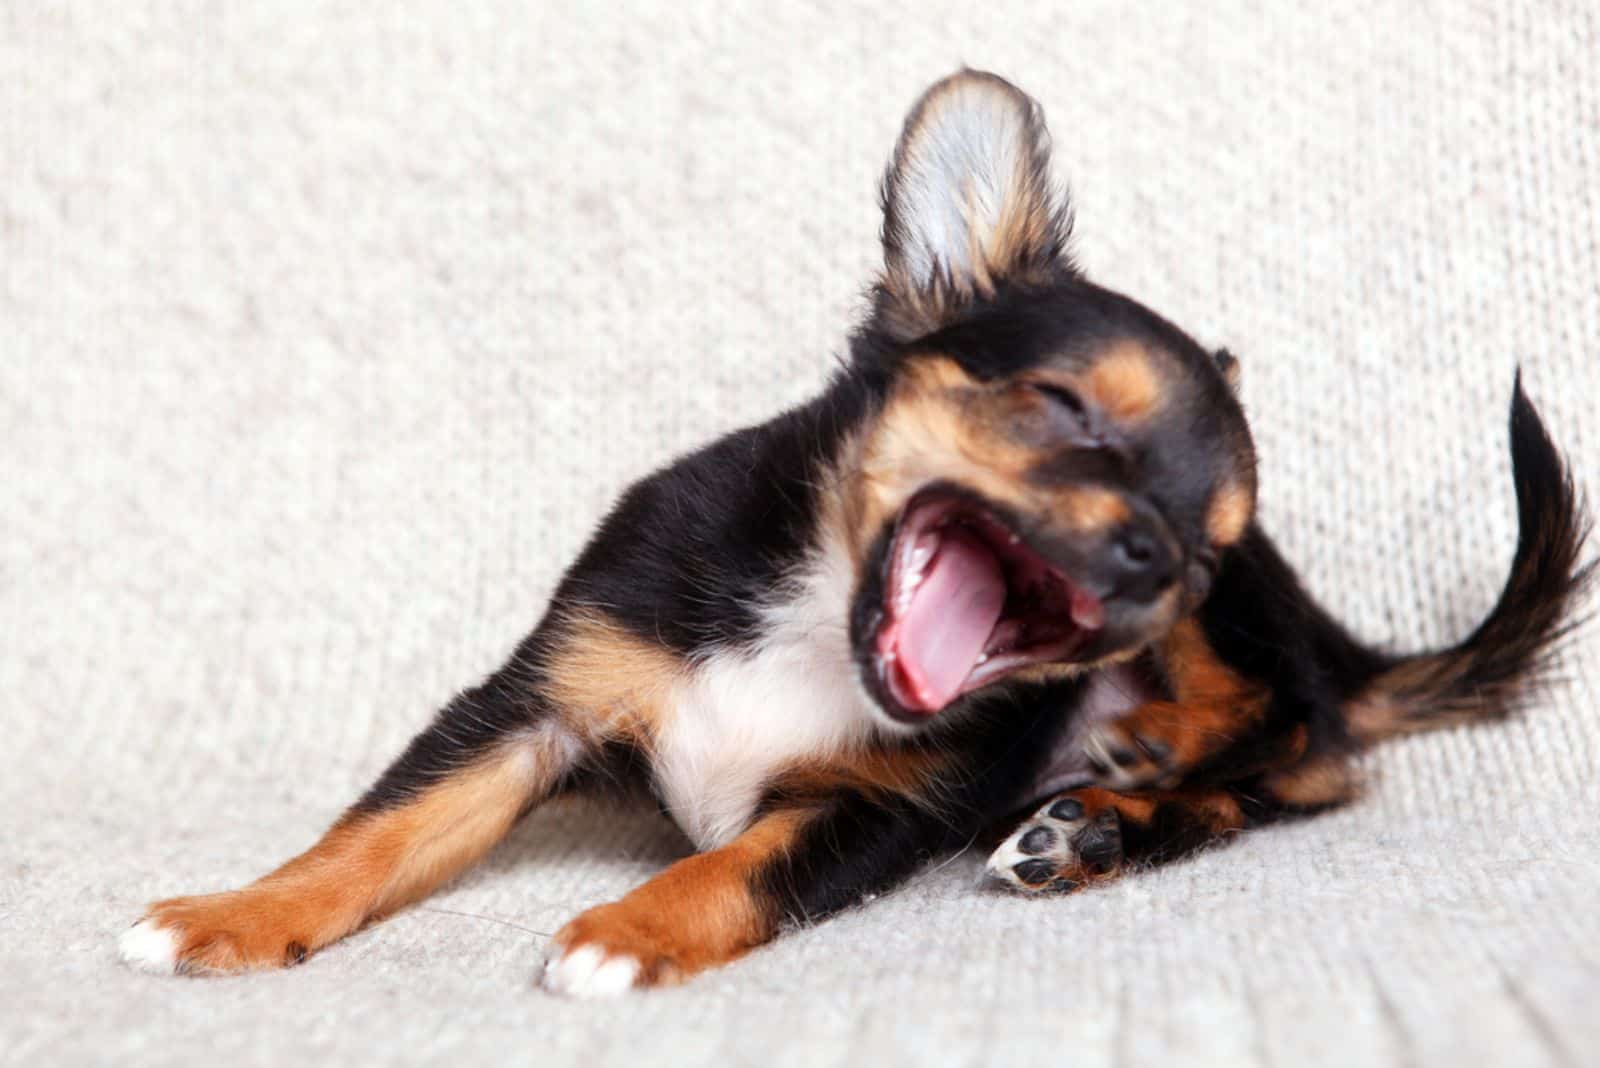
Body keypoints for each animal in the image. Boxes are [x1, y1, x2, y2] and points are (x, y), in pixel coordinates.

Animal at [116, 70, 1587, 997]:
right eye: (1064, 410)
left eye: (1206, 542)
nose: (1164, 564)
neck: (813, 621)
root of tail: (1338, 649)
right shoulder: (537, 704)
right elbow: (379, 830)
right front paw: (236, 915)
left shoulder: (879, 813)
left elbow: (741, 865)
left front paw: (624, 931)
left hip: (1241, 668)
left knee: (1300, 756)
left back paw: (1117, 798)